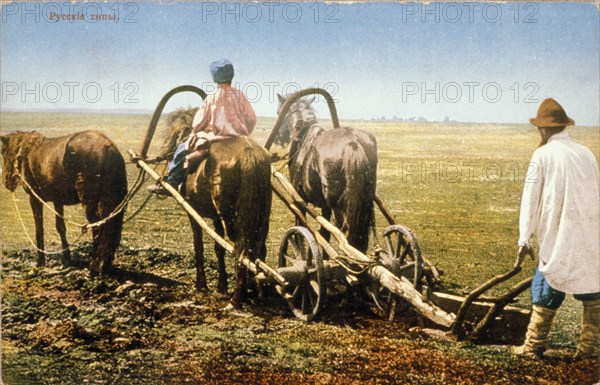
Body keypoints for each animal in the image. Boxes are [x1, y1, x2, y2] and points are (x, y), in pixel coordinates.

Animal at [0, 130, 127, 272]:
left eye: (3, 152)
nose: (6, 182)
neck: (25, 152)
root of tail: (109, 149)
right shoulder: (57, 200)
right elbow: (60, 227)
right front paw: (66, 259)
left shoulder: (34, 199)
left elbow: (39, 229)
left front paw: (40, 262)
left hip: (90, 203)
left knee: (97, 227)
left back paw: (94, 264)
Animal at [161, 109, 270, 304]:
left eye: (173, 134)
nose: (165, 152)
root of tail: (249, 155)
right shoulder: (216, 217)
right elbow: (219, 248)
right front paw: (221, 286)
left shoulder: (192, 211)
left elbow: (198, 245)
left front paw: (201, 284)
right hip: (261, 216)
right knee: (257, 247)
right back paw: (256, 291)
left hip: (232, 217)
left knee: (240, 246)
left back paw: (238, 297)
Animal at [276, 94, 376, 250]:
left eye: (279, 112)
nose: (278, 139)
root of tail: (353, 143)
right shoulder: (325, 207)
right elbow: (324, 234)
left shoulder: (298, 198)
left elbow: (300, 228)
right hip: (364, 205)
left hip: (339, 209)